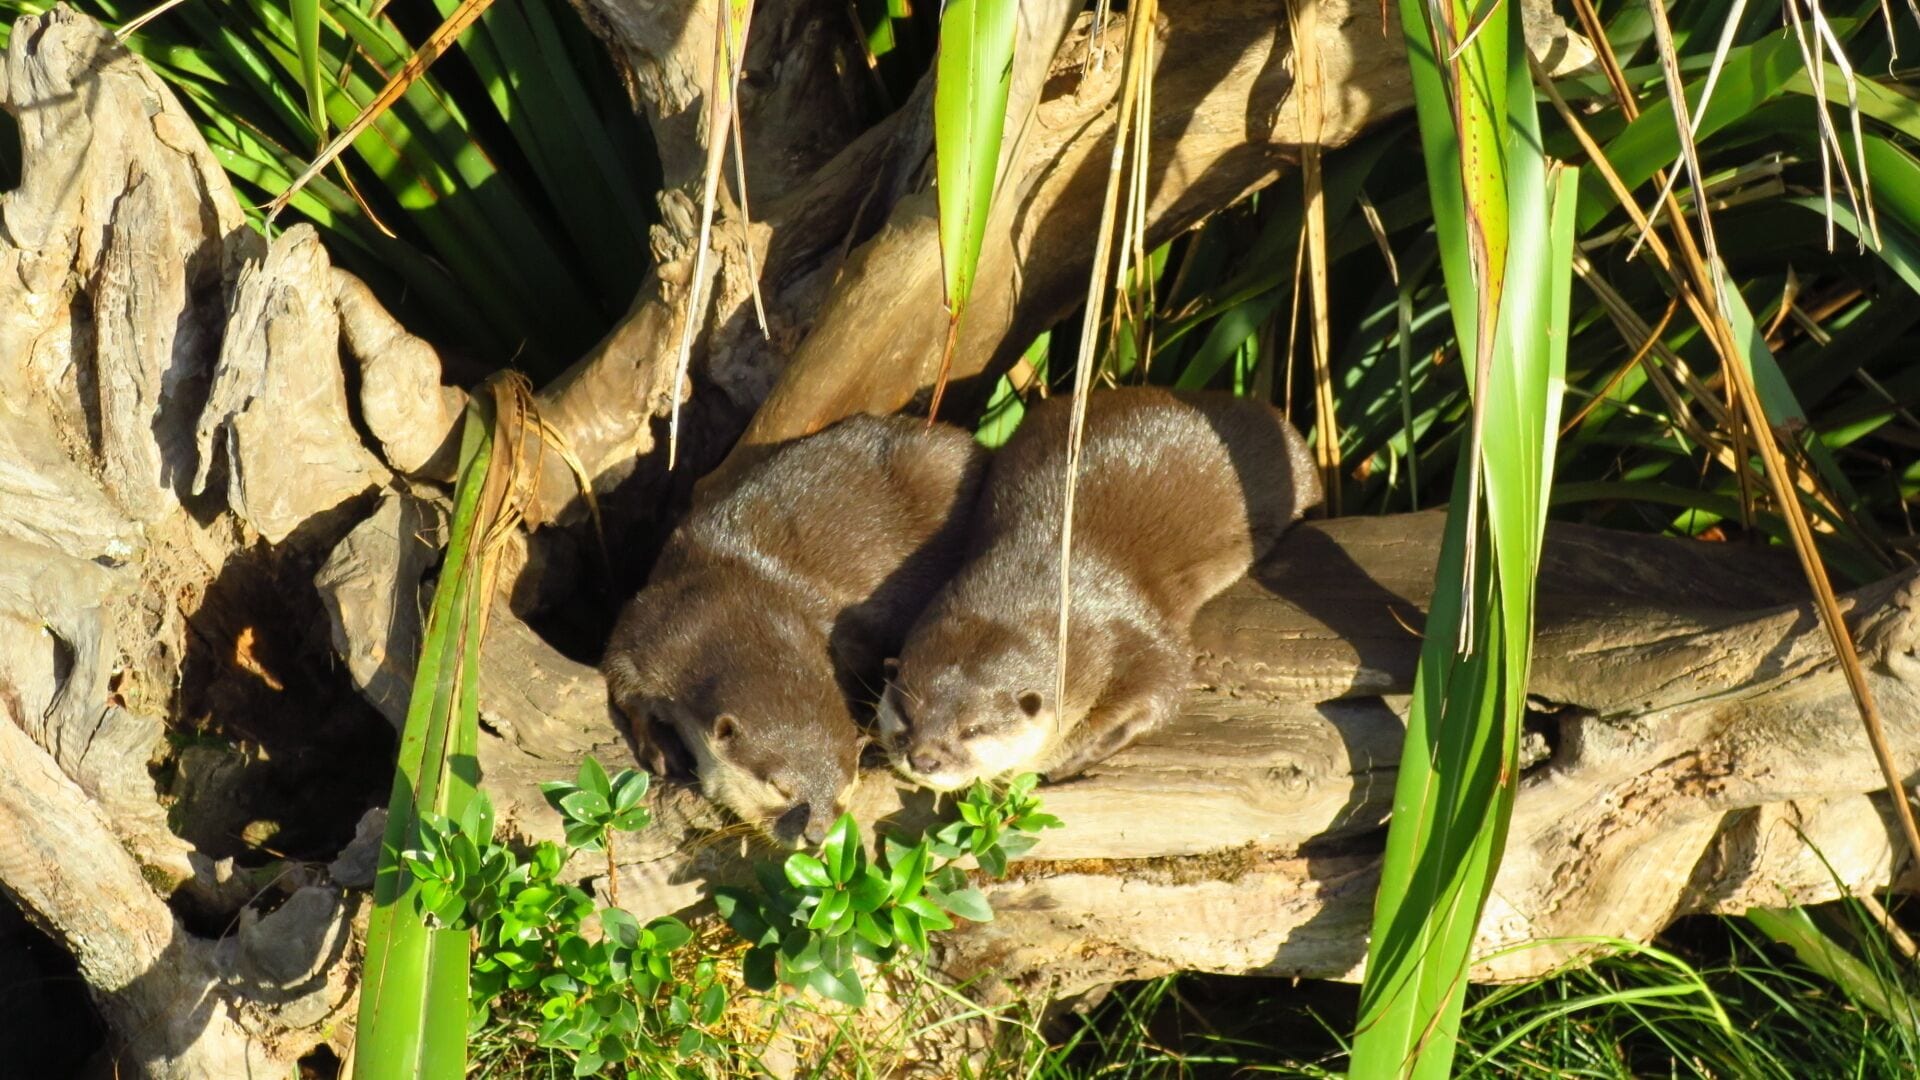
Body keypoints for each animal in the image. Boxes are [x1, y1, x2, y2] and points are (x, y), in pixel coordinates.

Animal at [602, 414, 984, 845]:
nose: (817, 837)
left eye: (845, 788)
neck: (741, 606)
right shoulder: (651, 627)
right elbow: (623, 686)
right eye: (780, 788)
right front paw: (663, 749)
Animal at [876, 388, 1321, 790]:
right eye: (905, 712)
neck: (1041, 579)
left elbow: (1164, 688)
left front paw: (1077, 753)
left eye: (972, 729)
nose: (923, 759)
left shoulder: (1130, 626)